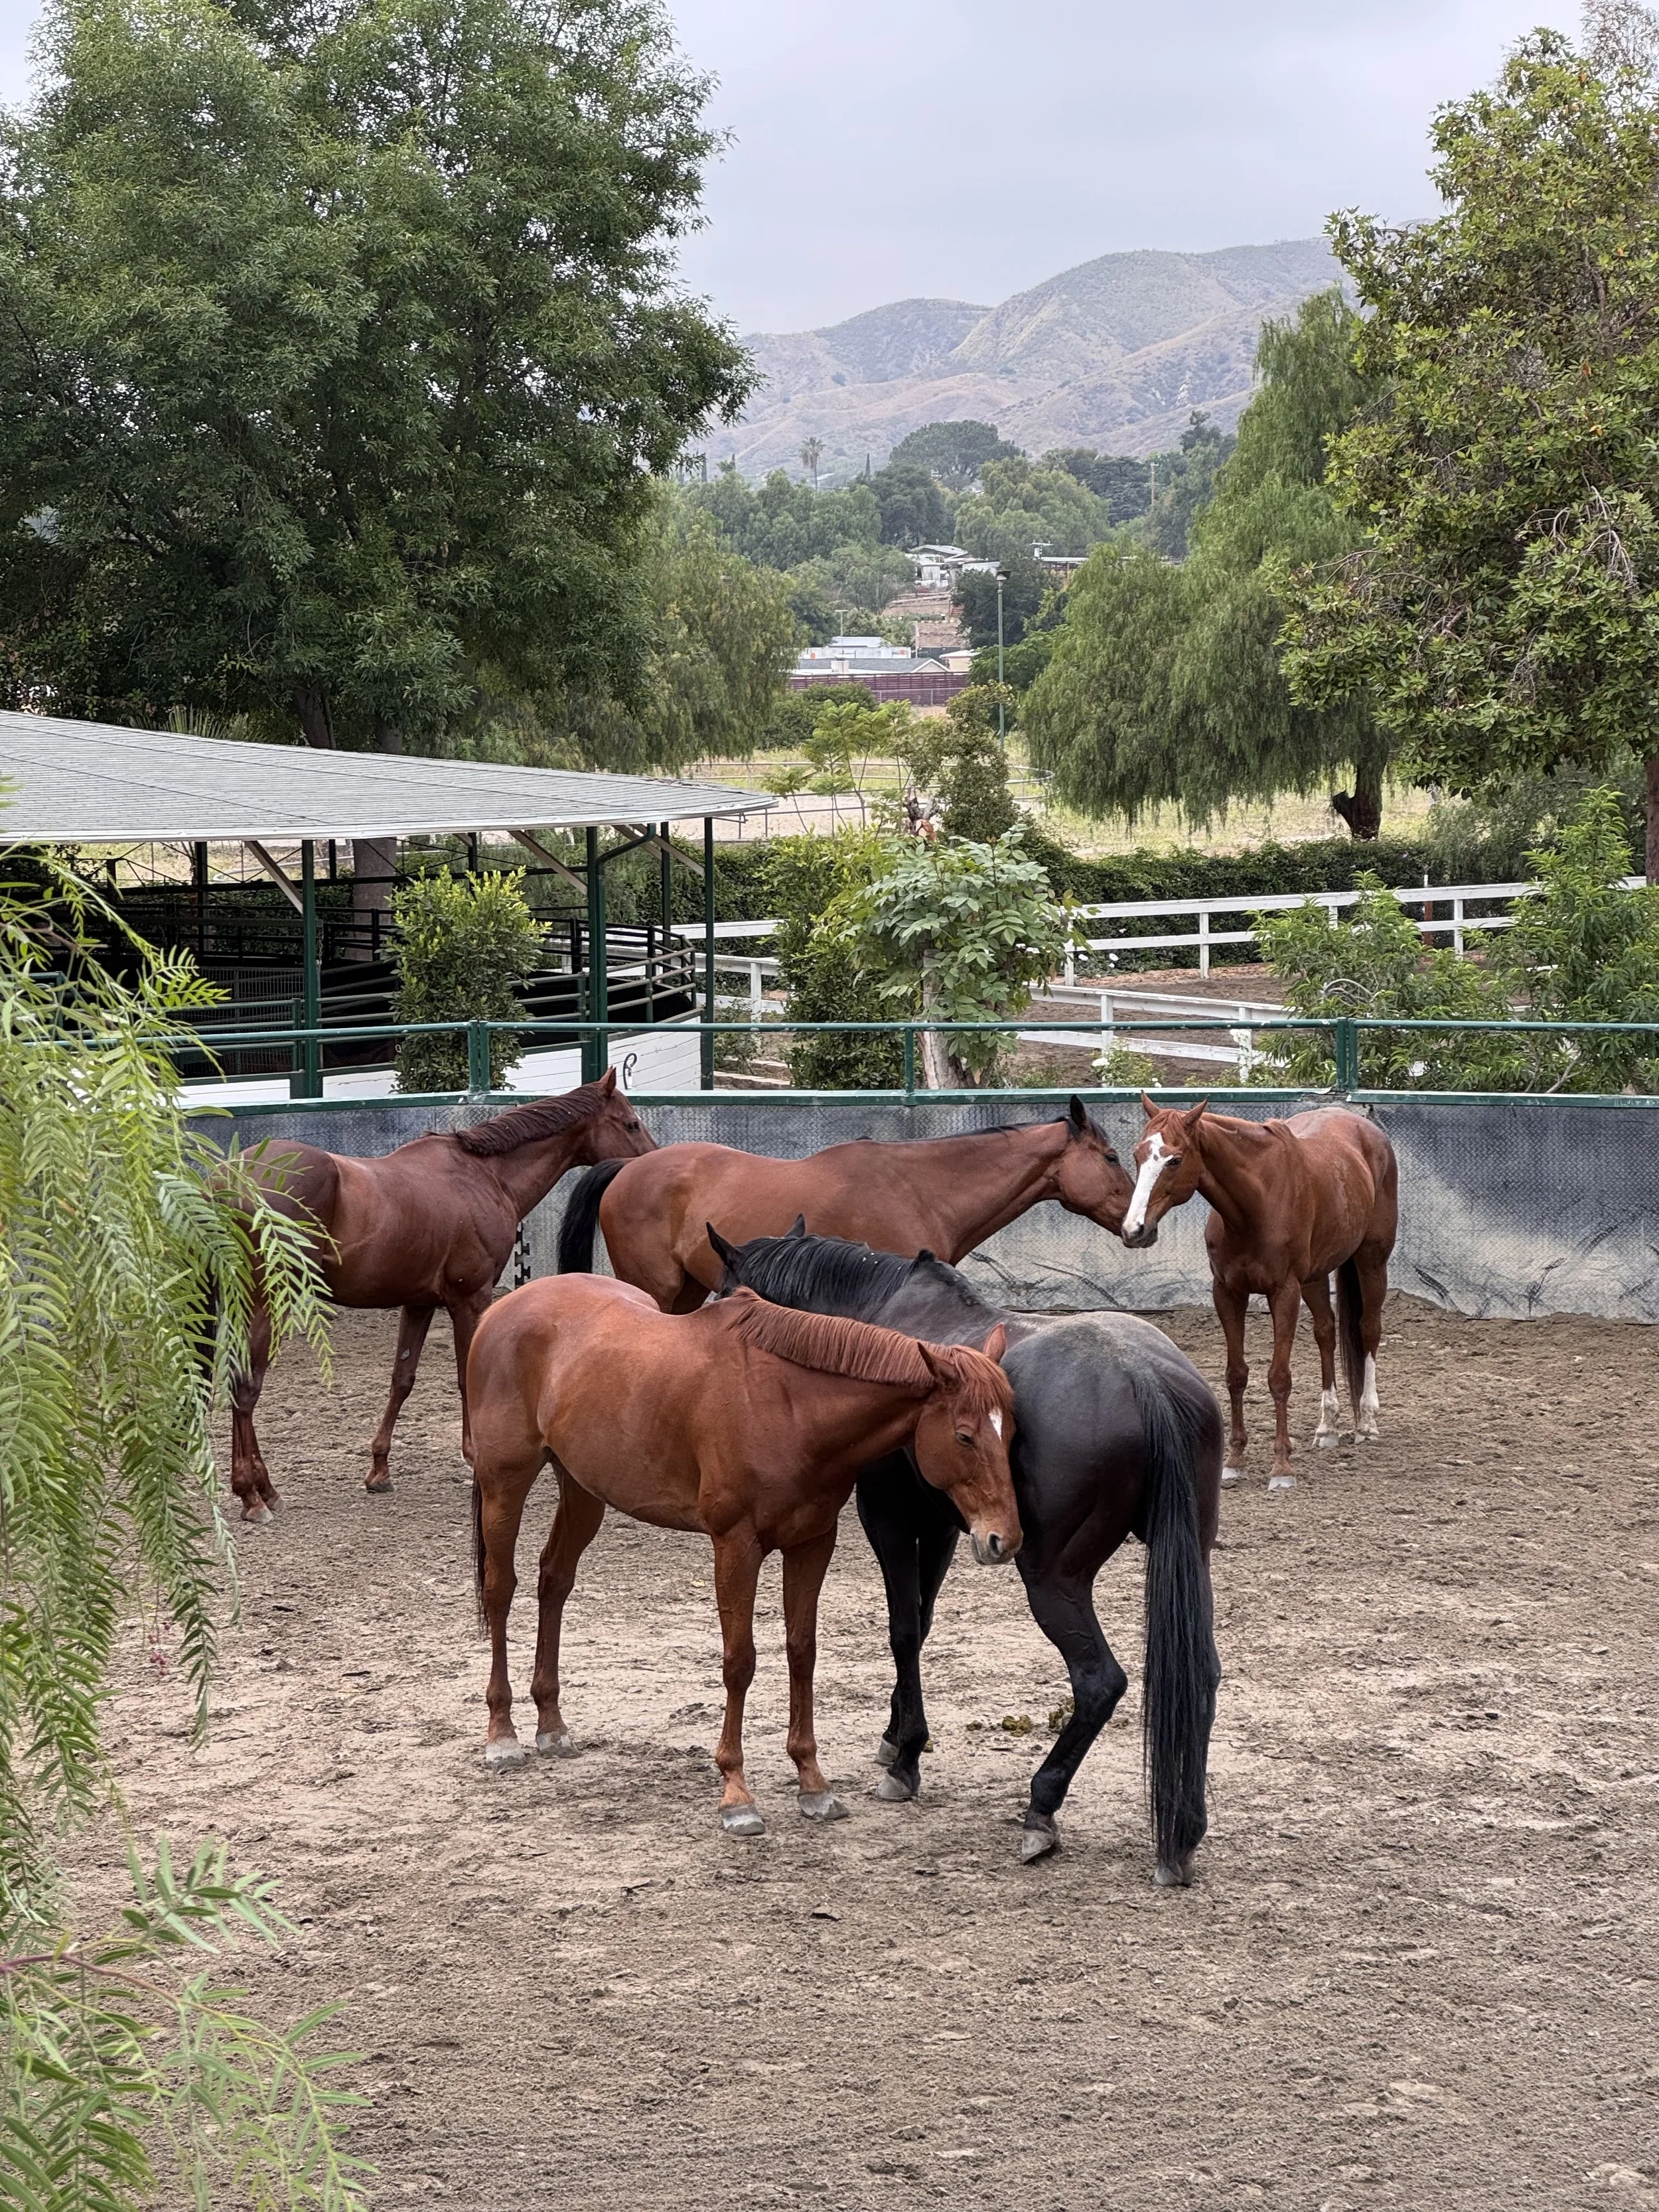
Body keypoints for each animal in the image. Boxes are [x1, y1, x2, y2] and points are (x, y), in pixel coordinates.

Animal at [227, 1071, 655, 1521]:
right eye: (631, 1124)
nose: (651, 1162)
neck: (486, 1176)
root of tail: (236, 1176)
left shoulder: (419, 1303)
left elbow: (402, 1379)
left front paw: (379, 1469)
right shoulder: (470, 1300)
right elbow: (466, 1377)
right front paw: (472, 1456)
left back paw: (259, 1489)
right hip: (268, 1302)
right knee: (246, 1386)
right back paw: (254, 1494)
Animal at [465, 1277, 1020, 1837]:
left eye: (1012, 1431)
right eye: (965, 1435)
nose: (1006, 1538)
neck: (789, 1406)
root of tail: (503, 1309)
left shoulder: (811, 1544)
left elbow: (802, 1652)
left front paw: (812, 1782)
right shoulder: (736, 1545)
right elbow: (740, 1661)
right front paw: (736, 1793)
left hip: (582, 1490)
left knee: (554, 1580)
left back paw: (551, 1724)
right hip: (504, 1483)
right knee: (500, 1590)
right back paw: (502, 1732)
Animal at [708, 1222, 1223, 1885]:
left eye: (723, 1296)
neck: (872, 1317)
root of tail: (1143, 1376)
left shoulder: (889, 1518)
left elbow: (903, 1630)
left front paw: (905, 1758)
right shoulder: (948, 1527)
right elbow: (922, 1623)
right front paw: (897, 1735)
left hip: (1054, 1578)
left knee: (1098, 1682)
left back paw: (1042, 1806)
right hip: (1191, 1557)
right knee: (1202, 1674)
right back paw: (1185, 1831)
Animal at [1120, 1097, 1398, 1484]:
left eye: (1174, 1160)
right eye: (1137, 1154)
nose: (1134, 1229)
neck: (1256, 1203)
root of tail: (1367, 1130)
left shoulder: (1284, 1293)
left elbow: (1279, 1378)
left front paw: (1281, 1466)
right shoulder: (1227, 1293)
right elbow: (1236, 1375)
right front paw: (1235, 1459)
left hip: (1371, 1262)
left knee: (1369, 1330)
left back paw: (1367, 1422)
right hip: (1315, 1278)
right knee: (1326, 1333)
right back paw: (1327, 1426)